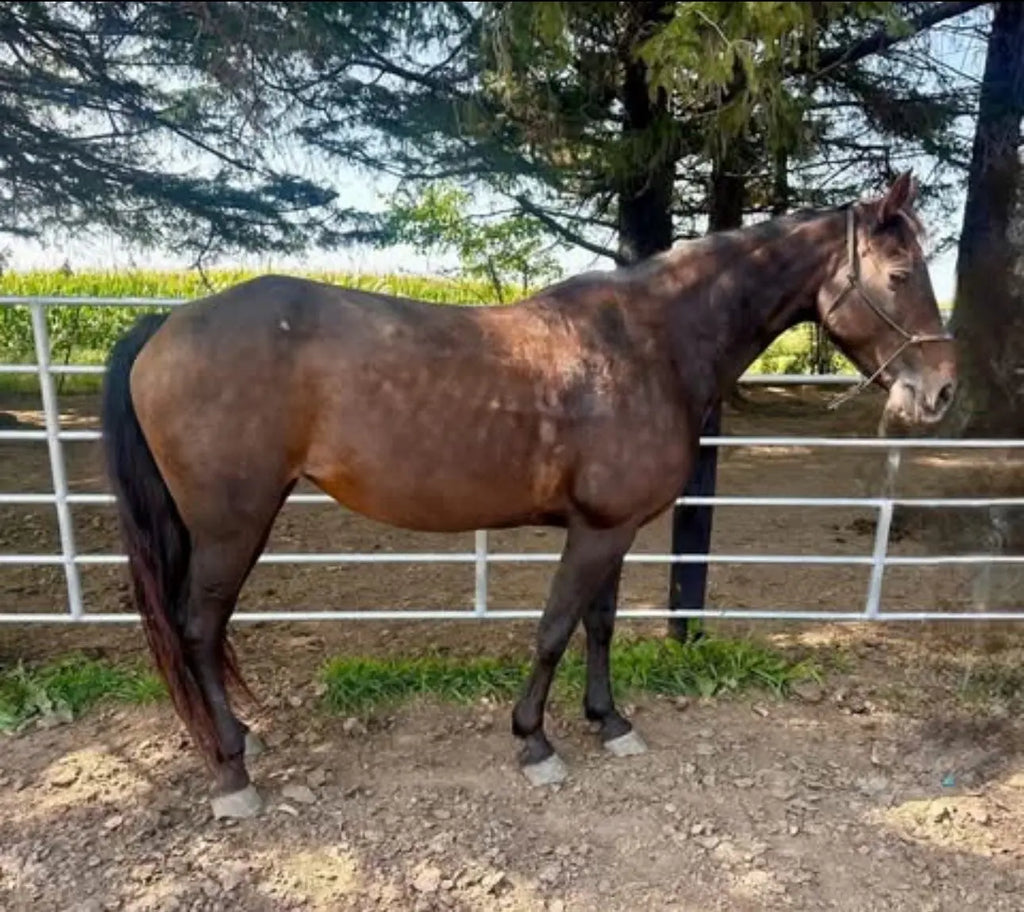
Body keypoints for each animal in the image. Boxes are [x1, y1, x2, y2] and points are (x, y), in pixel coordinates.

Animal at [100, 171, 956, 819]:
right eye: (900, 274)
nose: (942, 392)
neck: (647, 342)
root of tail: (166, 324)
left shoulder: (615, 527)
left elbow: (599, 626)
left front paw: (610, 722)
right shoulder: (596, 531)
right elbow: (553, 630)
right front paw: (535, 742)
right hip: (230, 527)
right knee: (198, 630)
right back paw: (231, 770)